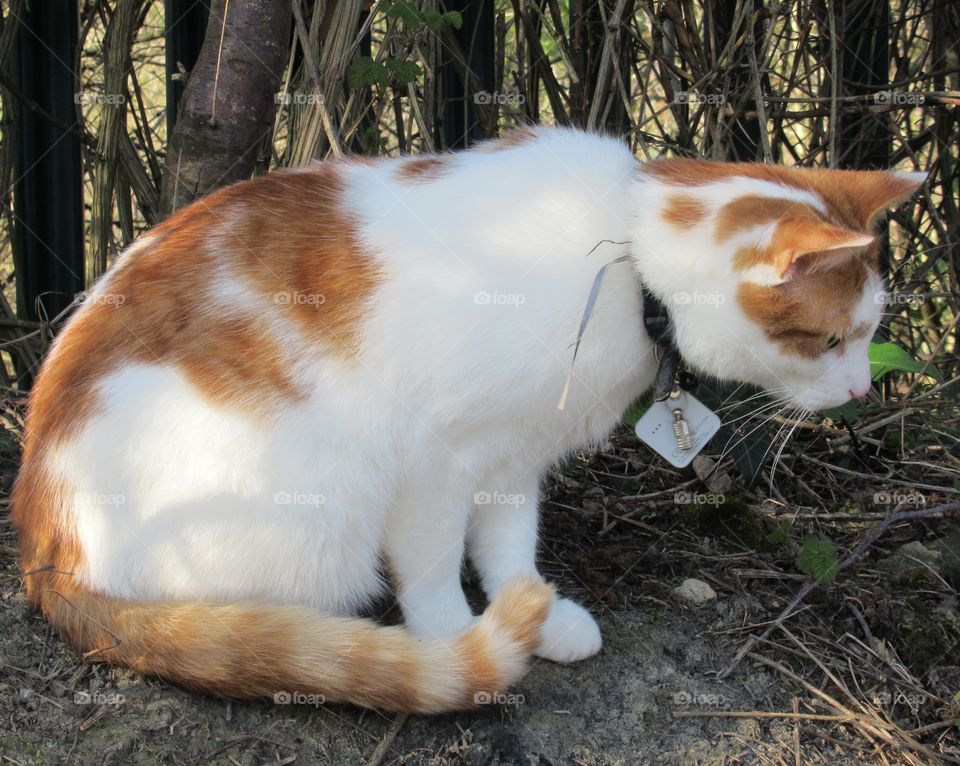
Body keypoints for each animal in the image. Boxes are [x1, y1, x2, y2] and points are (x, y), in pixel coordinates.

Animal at [13, 127, 924, 712]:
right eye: (831, 340)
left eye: (873, 332)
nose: (860, 393)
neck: (624, 259)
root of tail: (48, 556)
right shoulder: (433, 459)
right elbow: (432, 566)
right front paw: (457, 639)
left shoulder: (513, 456)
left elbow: (509, 545)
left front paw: (533, 614)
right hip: (311, 503)